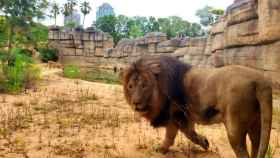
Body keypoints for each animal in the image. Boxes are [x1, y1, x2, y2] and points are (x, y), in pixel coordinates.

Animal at [120, 55, 272, 158]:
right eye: (130, 86)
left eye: (144, 86)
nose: (135, 103)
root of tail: (260, 81)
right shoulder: (181, 117)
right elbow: (187, 134)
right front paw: (204, 142)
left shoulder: (177, 115)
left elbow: (176, 135)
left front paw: (161, 150)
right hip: (256, 123)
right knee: (256, 144)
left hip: (235, 127)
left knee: (242, 150)